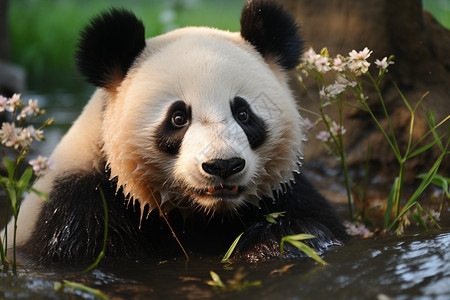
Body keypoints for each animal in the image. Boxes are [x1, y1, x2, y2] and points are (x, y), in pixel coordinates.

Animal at [3, 0, 346, 264]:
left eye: (243, 114)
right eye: (178, 118)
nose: (223, 165)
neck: (203, 215)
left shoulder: (286, 192)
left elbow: (313, 226)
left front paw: (272, 244)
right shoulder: (79, 208)